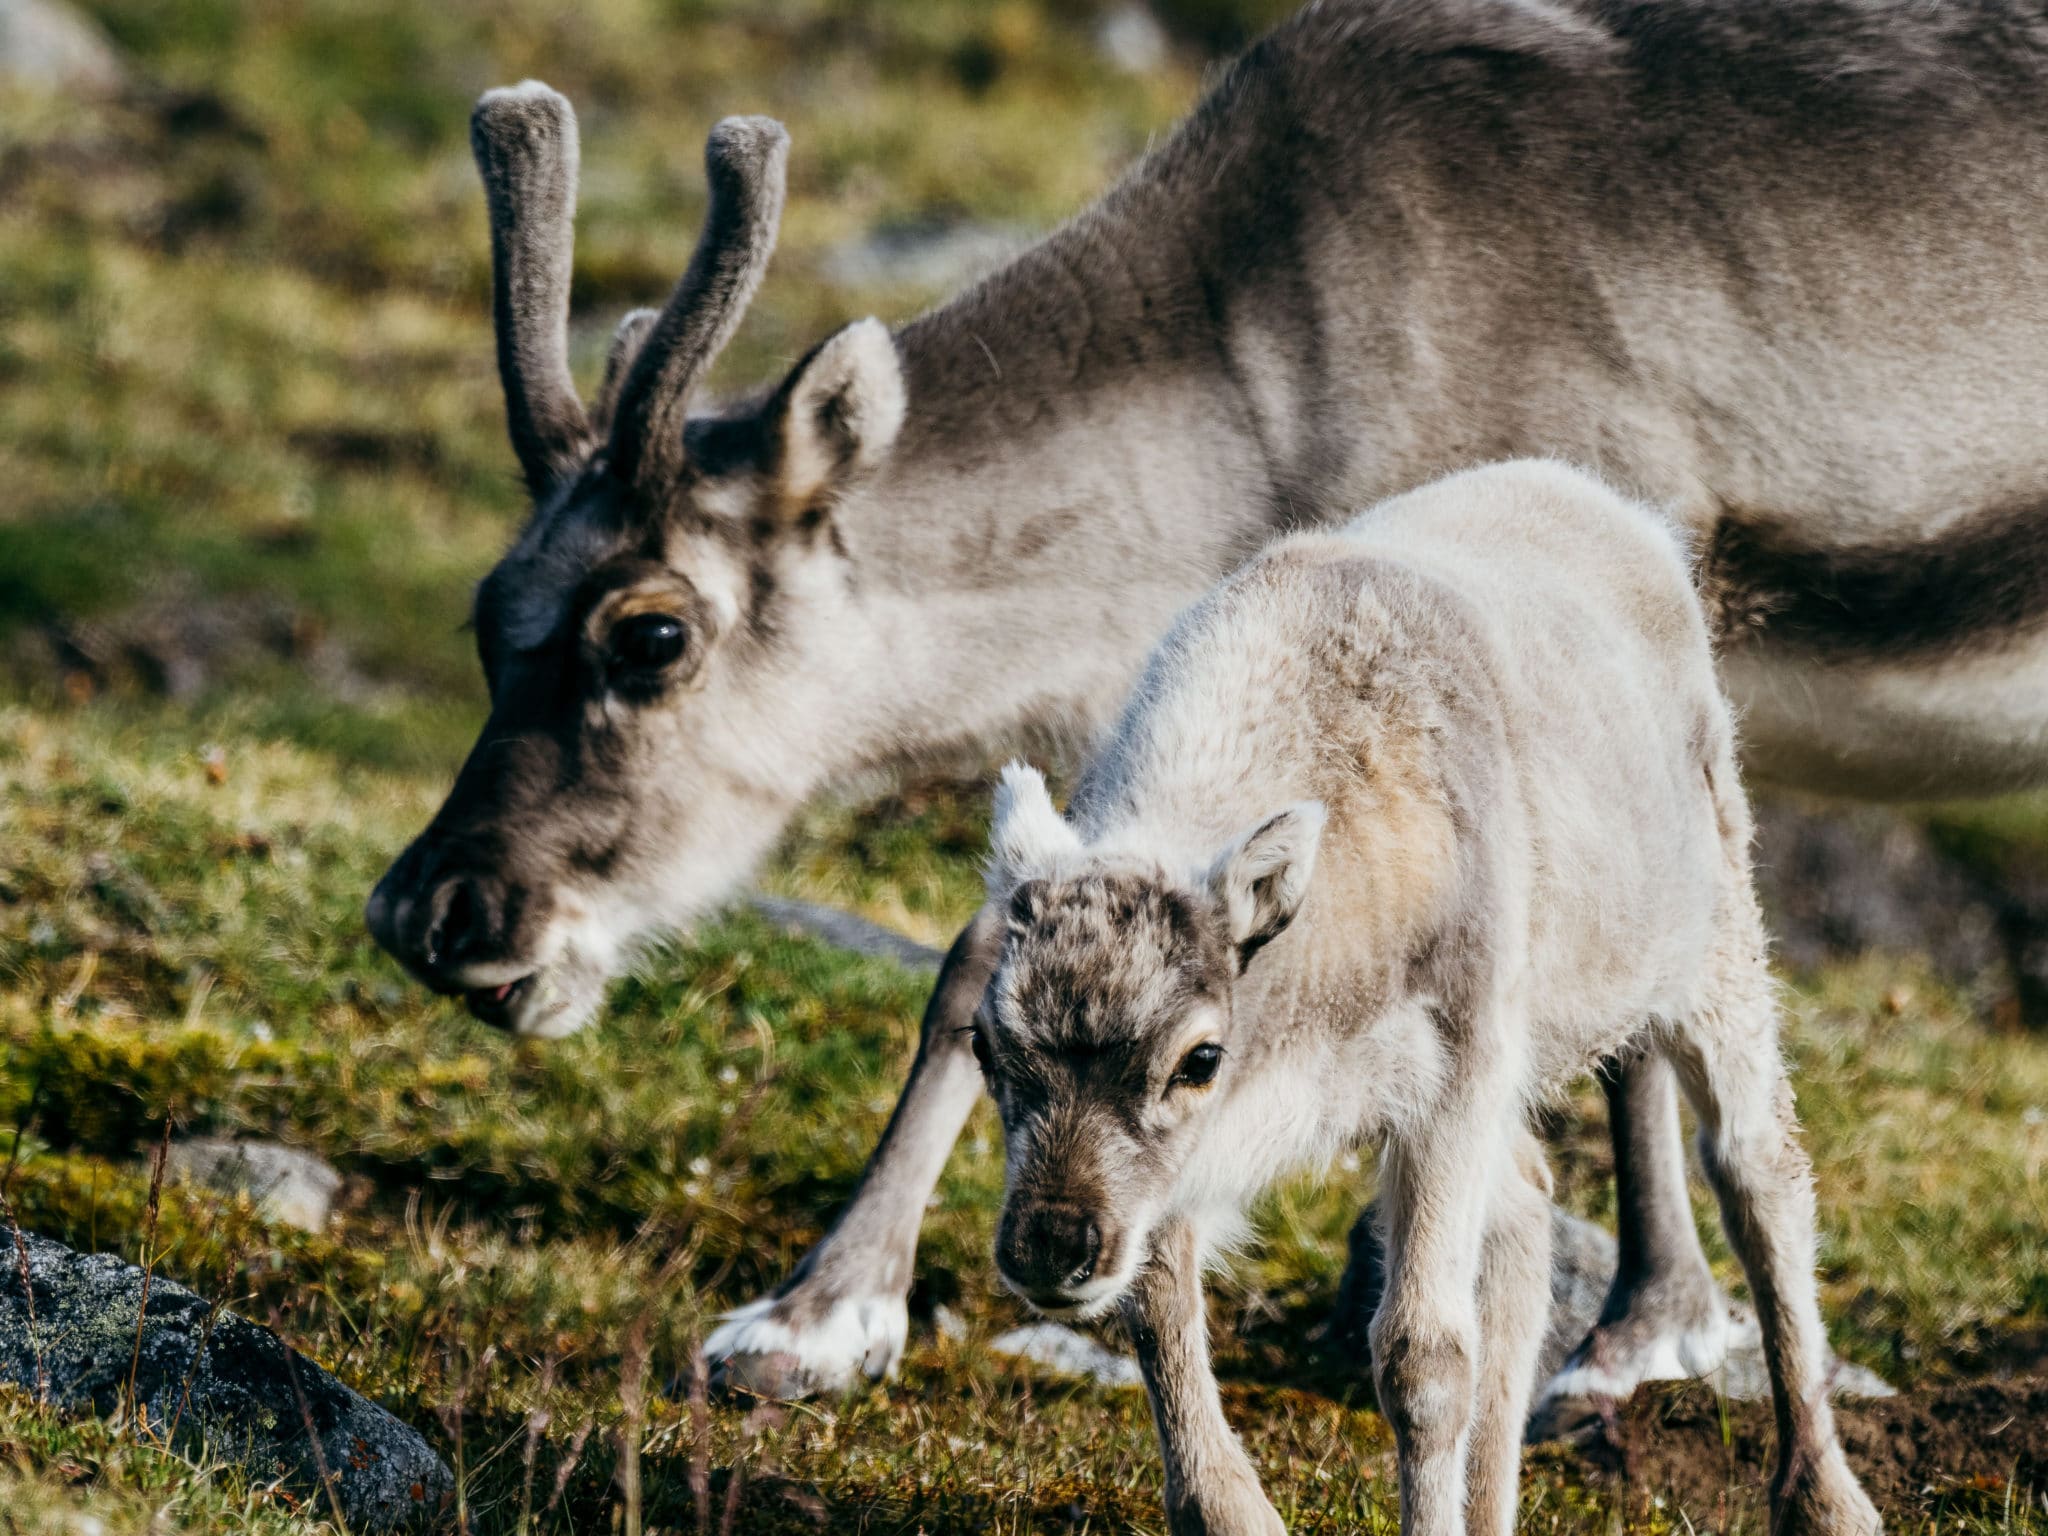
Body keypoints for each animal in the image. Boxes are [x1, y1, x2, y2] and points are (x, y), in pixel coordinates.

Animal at [974, 462, 1875, 1536]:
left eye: (1198, 1057)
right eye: (986, 1046)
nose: (1049, 1247)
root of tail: (1614, 507)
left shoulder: (1449, 1076)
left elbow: (1422, 1359)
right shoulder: (1196, 1164)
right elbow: (1157, 1307)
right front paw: (1227, 1508)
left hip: (1715, 947)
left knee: (1758, 1172)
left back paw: (1826, 1498)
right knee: (1529, 1202)